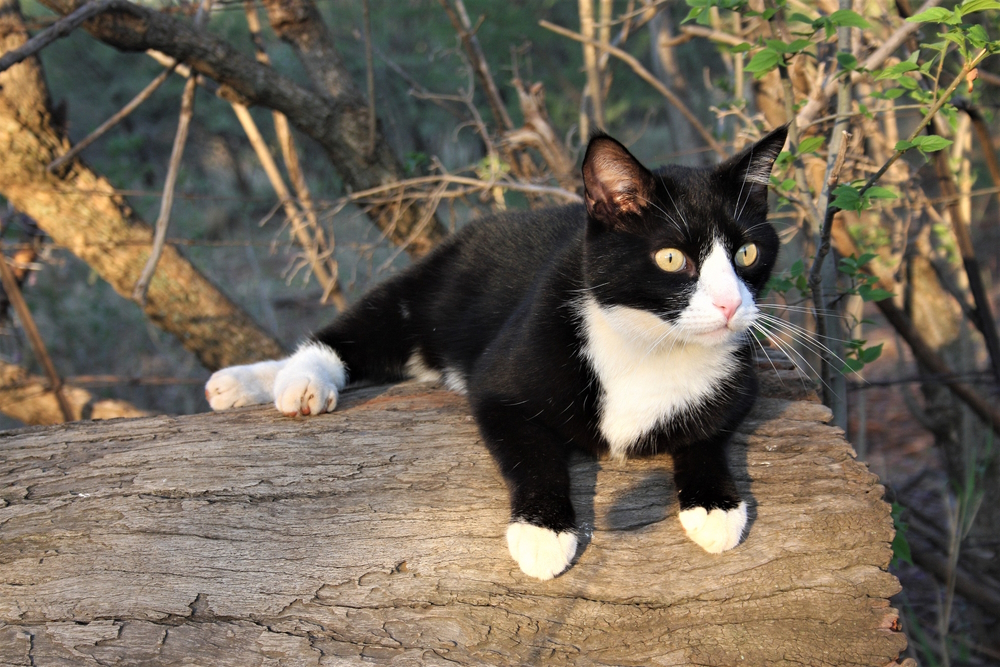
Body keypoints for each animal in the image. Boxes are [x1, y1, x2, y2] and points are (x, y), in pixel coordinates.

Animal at [207, 128, 788, 580]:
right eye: (671, 258)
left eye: (747, 252)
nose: (731, 304)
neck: (651, 344)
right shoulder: (504, 379)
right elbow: (531, 450)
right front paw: (543, 531)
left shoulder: (739, 380)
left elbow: (708, 429)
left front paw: (714, 504)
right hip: (430, 293)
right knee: (358, 331)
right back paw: (295, 379)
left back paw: (241, 384)